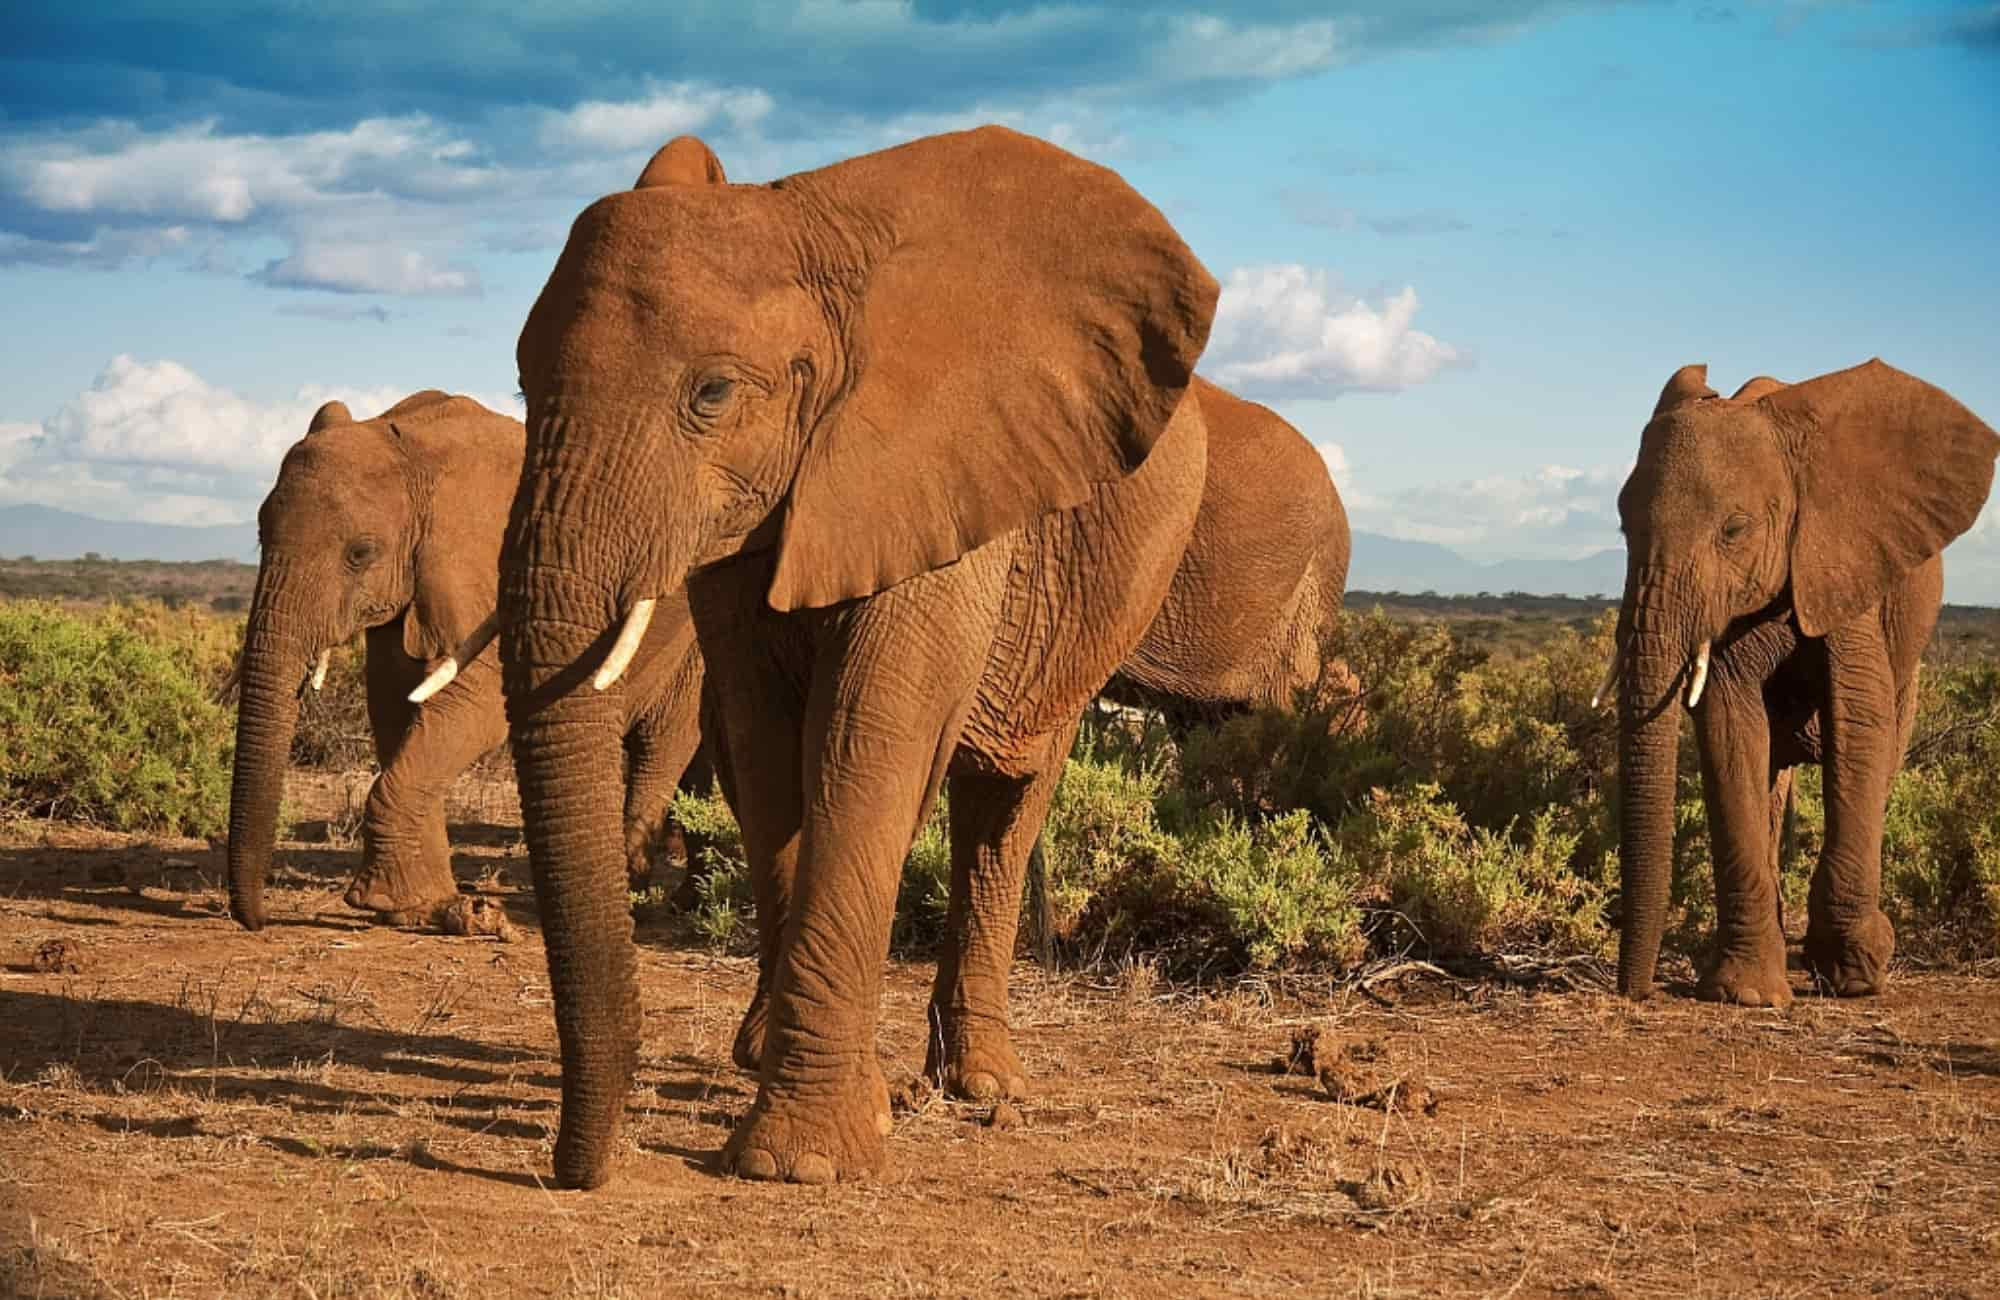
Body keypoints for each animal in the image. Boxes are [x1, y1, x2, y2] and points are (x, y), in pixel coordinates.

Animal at [225, 388, 712, 932]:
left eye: (360, 553)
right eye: (261, 536)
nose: (257, 919)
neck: (415, 450)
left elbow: (477, 706)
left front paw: (391, 903)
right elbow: (393, 706)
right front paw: (426, 908)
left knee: (663, 742)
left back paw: (637, 898)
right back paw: (684, 899)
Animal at [500, 124, 1216, 1184]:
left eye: (713, 393)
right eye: (520, 382)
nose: (574, 1171)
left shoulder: (938, 478)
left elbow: (868, 740)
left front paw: (800, 1162)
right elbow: (766, 751)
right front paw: (809, 1097)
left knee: (1004, 798)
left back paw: (981, 1085)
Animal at [1608, 360, 2000, 1008]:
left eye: (1734, 530)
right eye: (1622, 526)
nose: (1633, 992)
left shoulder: (1844, 561)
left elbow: (1860, 719)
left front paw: (1856, 974)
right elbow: (1729, 725)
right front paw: (1744, 994)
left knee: (1885, 748)